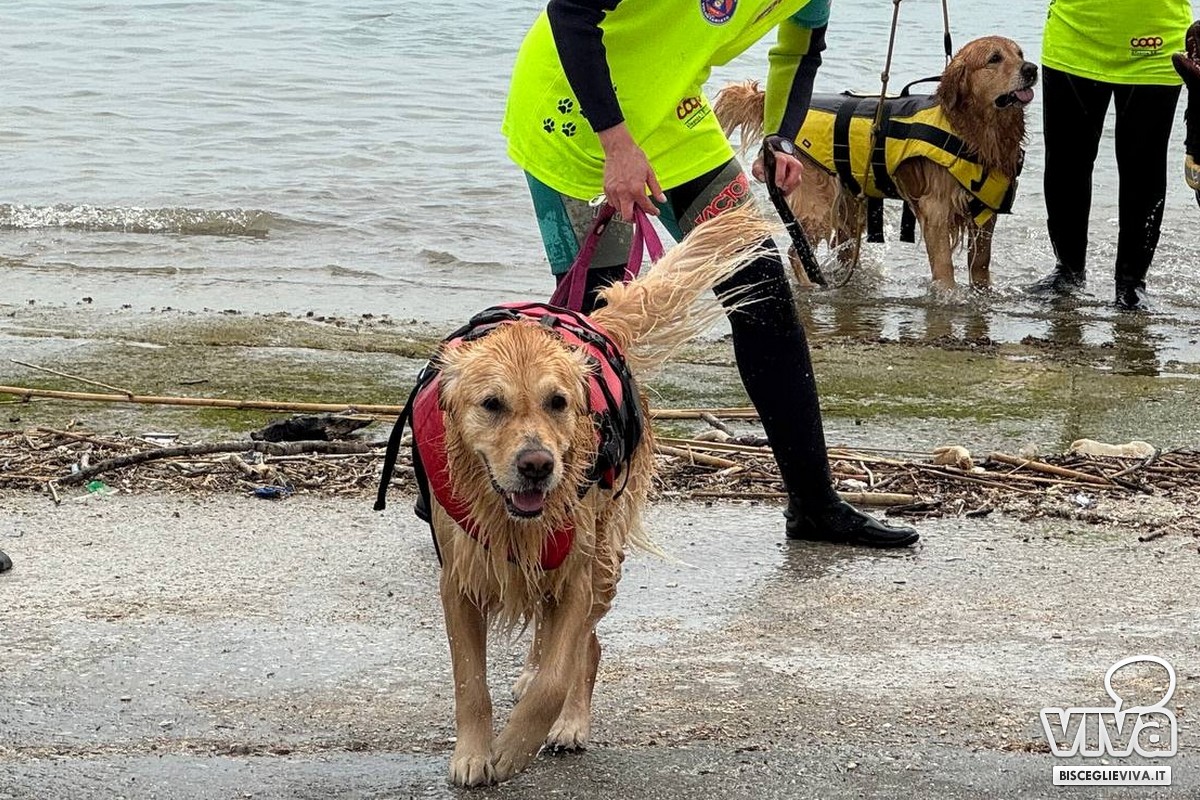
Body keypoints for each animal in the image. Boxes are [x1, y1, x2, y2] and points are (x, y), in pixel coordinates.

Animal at [375, 208, 772, 786]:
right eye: (491, 404)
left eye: (557, 402)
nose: (537, 466)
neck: (514, 521)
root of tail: (597, 327)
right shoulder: (461, 581)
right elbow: (470, 682)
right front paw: (472, 753)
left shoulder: (577, 575)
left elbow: (555, 680)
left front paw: (515, 747)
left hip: (603, 560)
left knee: (589, 645)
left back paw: (569, 722)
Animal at [715, 36, 1038, 288]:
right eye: (994, 58)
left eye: (1020, 53)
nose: (1032, 69)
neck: (972, 131)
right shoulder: (936, 208)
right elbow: (944, 268)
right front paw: (948, 296)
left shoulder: (986, 214)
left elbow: (980, 264)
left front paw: (982, 294)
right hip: (818, 203)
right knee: (797, 253)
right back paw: (812, 286)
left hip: (849, 205)